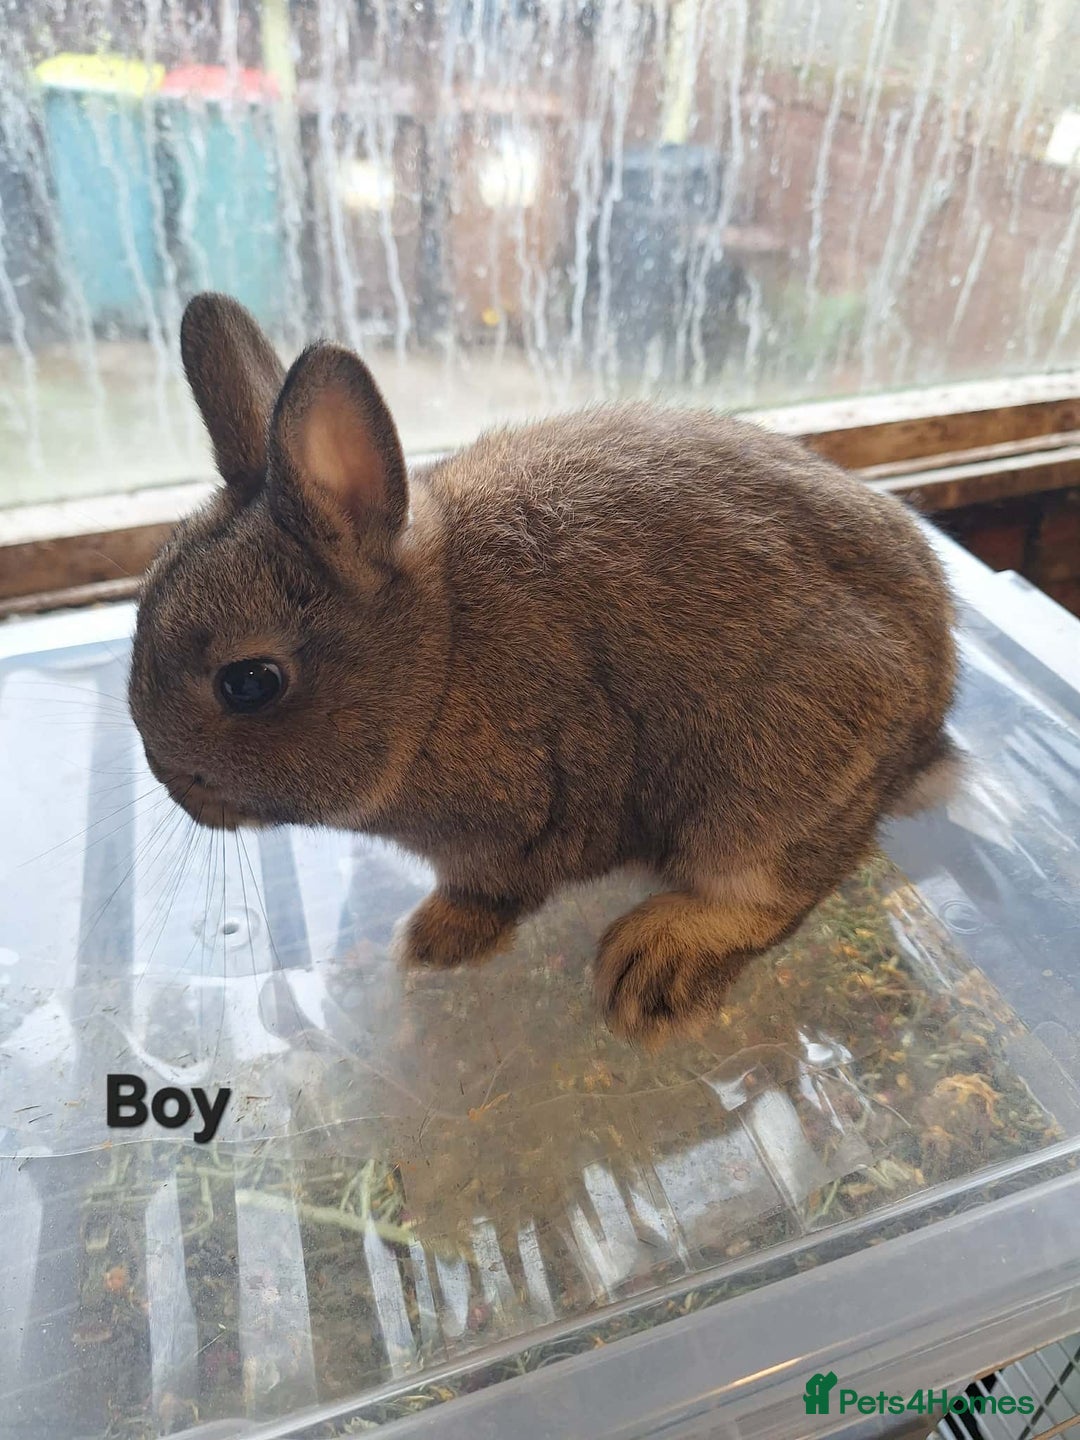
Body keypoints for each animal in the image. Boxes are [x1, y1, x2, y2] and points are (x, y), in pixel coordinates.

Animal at [128, 292, 959, 1047]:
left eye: (249, 683)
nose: (177, 788)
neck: (438, 658)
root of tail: (932, 723)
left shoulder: (533, 818)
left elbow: (496, 891)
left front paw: (433, 939)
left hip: (769, 786)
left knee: (776, 892)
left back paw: (651, 963)